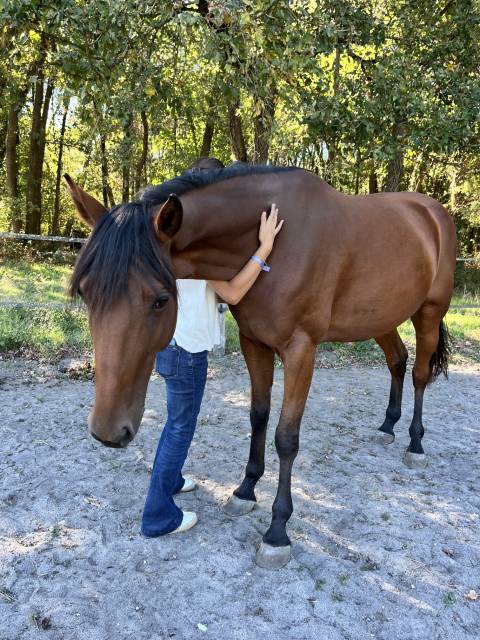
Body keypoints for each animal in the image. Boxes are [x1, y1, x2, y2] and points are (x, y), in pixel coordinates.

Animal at [64, 162, 456, 569]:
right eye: (85, 293)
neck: (273, 244)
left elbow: (285, 437)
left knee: (420, 374)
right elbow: (258, 416)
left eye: (160, 300)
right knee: (397, 360)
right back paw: (387, 426)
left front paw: (277, 531)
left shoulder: (300, 349)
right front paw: (246, 490)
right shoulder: (254, 343)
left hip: (428, 313)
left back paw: (415, 443)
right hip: (380, 318)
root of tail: (432, 212)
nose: (107, 432)